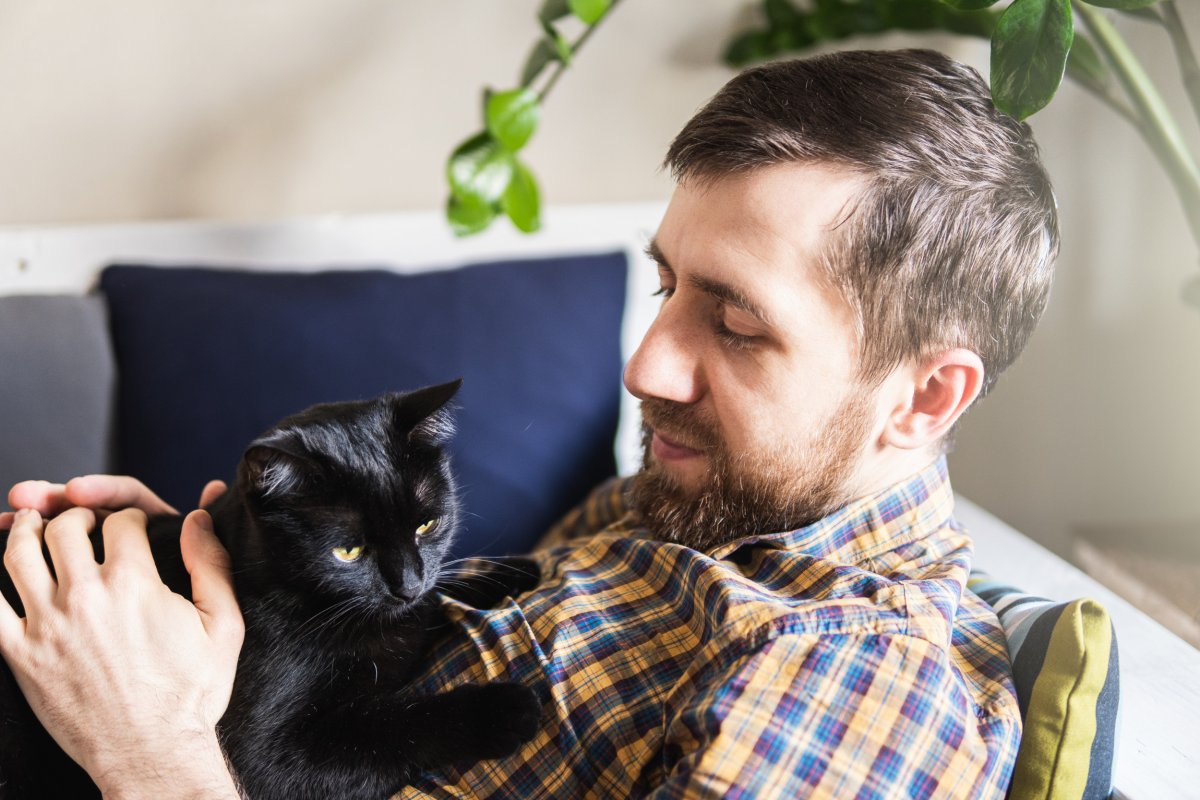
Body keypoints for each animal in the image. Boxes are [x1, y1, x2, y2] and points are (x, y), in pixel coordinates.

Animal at [0, 381, 544, 800]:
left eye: (427, 525)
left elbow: (433, 606)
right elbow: (392, 725)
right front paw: (504, 710)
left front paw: (510, 573)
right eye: (349, 552)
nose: (407, 584)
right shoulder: (267, 761)